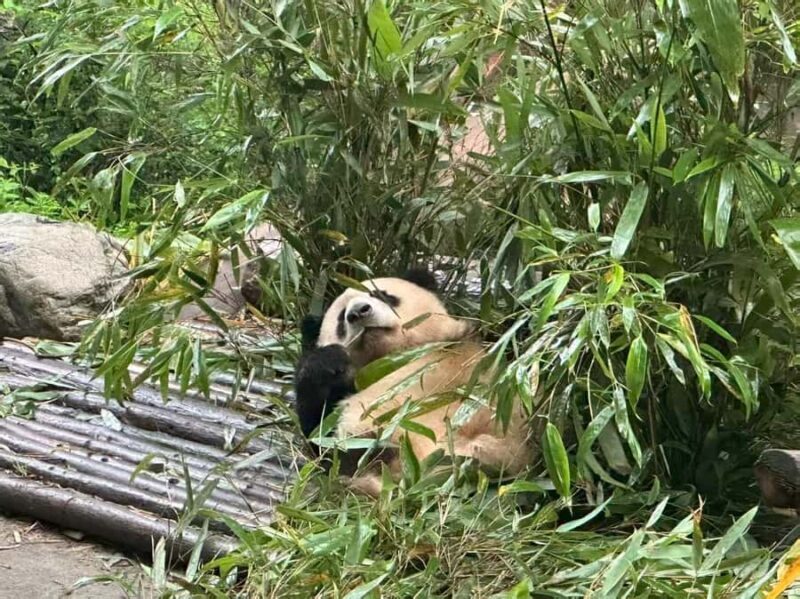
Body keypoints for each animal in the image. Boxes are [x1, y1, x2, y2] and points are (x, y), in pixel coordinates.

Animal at [294, 269, 532, 496]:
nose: (359, 312)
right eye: (341, 318)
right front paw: (329, 360)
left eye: (382, 295)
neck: (394, 358)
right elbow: (318, 433)